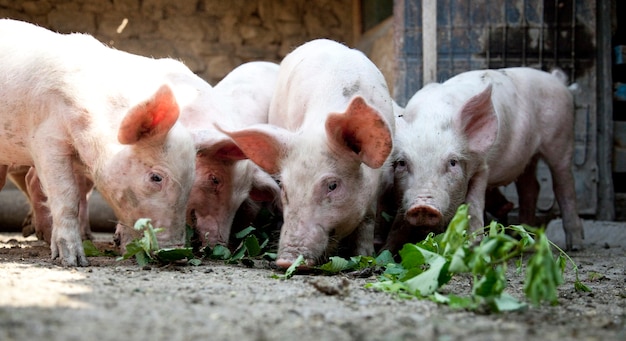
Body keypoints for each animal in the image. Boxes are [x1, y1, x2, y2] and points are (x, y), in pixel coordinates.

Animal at [0, 19, 197, 266]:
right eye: (156, 178)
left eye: (192, 181)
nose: (178, 253)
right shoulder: (47, 139)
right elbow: (67, 196)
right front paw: (74, 261)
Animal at [382, 66, 584, 251]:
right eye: (402, 163)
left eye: (452, 162)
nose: (423, 206)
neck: (432, 117)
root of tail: (556, 79)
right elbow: (399, 221)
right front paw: (386, 250)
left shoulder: (482, 166)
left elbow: (474, 203)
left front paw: (473, 245)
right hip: (528, 157)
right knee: (531, 187)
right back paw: (521, 240)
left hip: (561, 138)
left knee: (564, 185)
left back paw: (574, 245)